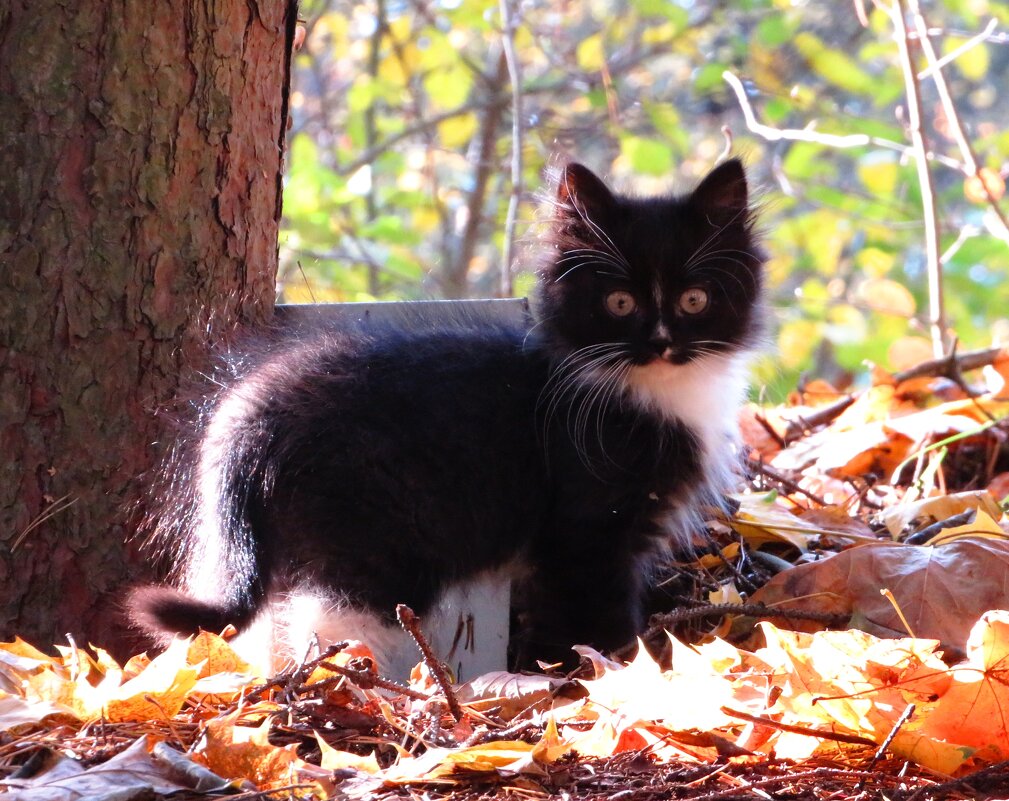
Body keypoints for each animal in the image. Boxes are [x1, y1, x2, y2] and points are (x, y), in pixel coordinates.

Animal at [130, 160, 758, 673]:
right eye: (619, 303)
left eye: (695, 300)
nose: (661, 342)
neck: (650, 387)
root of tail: (249, 419)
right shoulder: (587, 525)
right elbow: (592, 611)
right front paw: (605, 675)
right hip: (377, 533)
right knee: (333, 620)